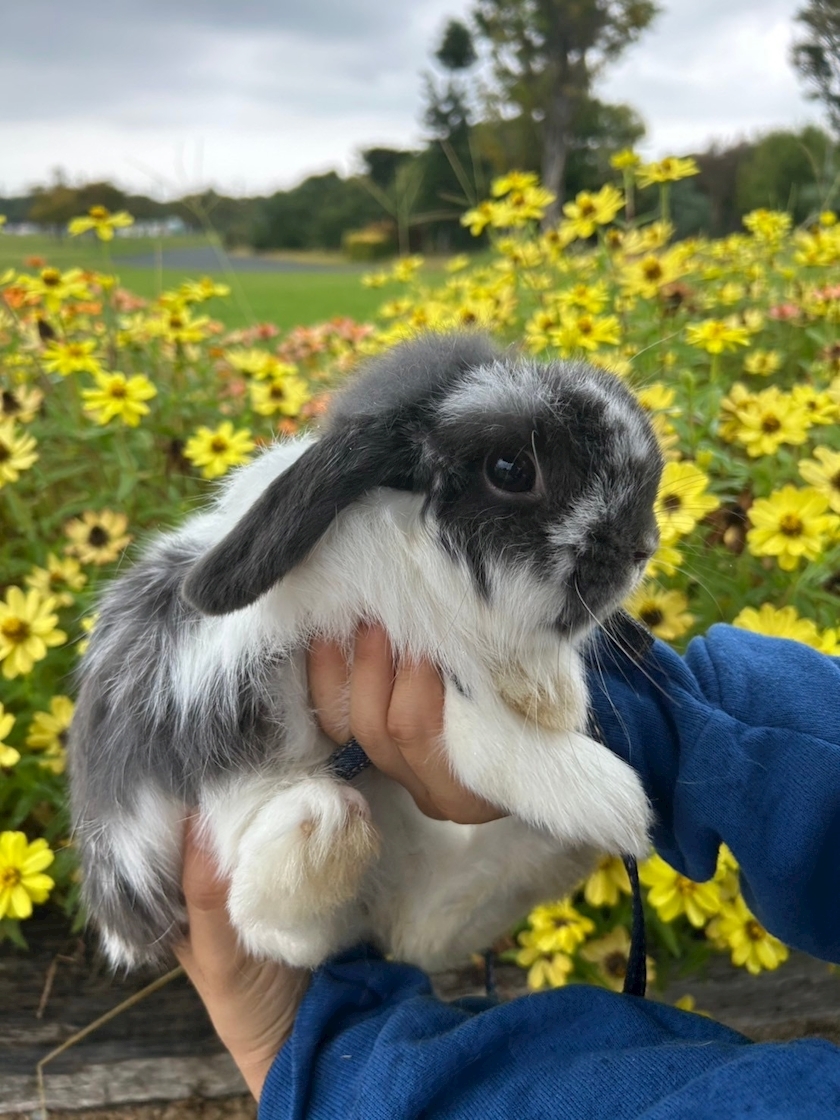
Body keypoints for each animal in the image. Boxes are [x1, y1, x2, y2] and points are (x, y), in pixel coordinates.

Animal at [67, 329, 663, 972]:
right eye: (511, 469)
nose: (642, 547)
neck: (402, 544)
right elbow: (463, 720)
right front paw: (600, 790)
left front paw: (551, 692)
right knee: (280, 928)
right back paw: (318, 838)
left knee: (420, 933)